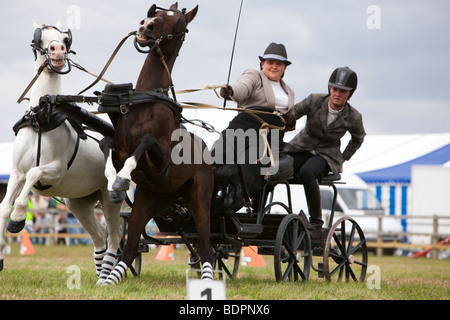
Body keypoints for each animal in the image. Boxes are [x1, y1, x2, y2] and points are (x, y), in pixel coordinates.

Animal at [0, 21, 121, 284]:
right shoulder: (16, 172)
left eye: (64, 40)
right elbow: (4, 206)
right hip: (79, 203)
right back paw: (101, 272)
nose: (57, 51)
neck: (41, 120)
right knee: (99, 236)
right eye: (39, 38)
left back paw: (108, 276)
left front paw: (18, 218)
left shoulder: (55, 172)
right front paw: (1, 253)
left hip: (109, 198)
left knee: (115, 238)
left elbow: (34, 173)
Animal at [101, 3, 215, 284]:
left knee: (206, 245)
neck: (147, 103)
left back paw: (208, 277)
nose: (146, 26)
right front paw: (113, 181)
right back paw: (110, 279)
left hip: (200, 198)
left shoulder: (162, 160)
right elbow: (106, 144)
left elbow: (146, 141)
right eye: (156, 12)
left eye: (180, 23)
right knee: (131, 245)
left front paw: (121, 179)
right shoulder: (119, 149)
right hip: (149, 200)